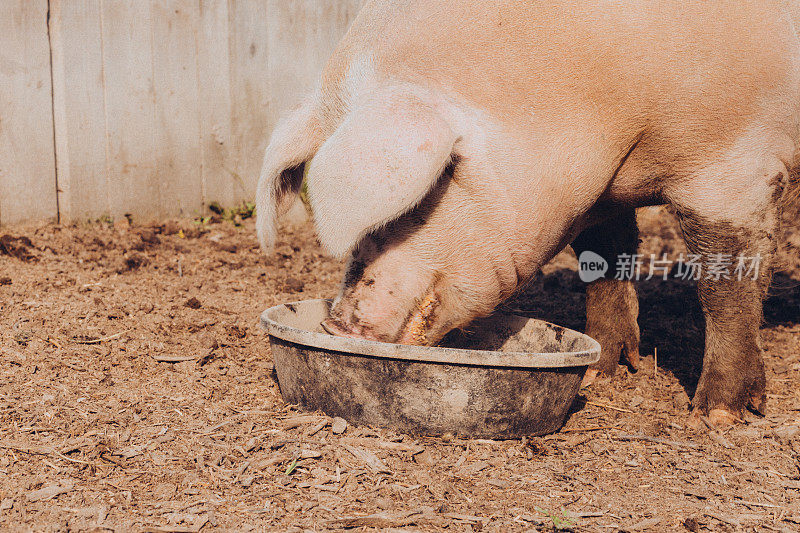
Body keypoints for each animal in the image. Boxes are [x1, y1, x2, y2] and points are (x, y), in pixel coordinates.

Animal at [256, 0, 800, 426]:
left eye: (433, 186)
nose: (334, 325)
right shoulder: (598, 190)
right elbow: (603, 258)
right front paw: (600, 371)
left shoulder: (734, 162)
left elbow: (724, 285)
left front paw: (716, 416)